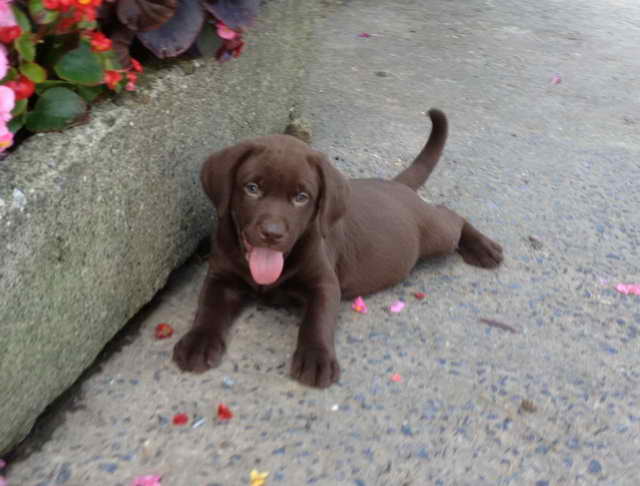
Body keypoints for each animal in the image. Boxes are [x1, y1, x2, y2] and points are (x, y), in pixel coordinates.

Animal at [172, 109, 502, 388]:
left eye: (301, 197)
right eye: (252, 188)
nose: (272, 234)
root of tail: (398, 186)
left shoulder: (324, 283)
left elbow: (318, 320)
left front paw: (316, 359)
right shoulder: (221, 277)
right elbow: (208, 308)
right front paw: (198, 341)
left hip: (434, 234)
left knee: (451, 216)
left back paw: (484, 248)